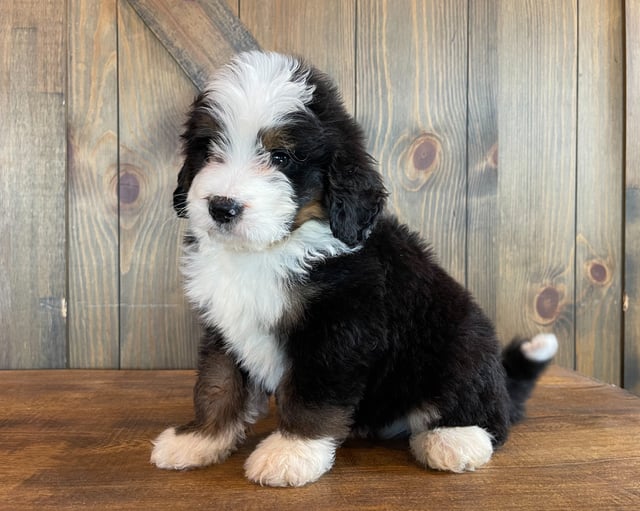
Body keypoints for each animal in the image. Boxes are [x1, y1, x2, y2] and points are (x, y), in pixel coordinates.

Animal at [150, 52, 556, 488]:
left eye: (281, 157)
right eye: (210, 149)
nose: (222, 207)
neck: (267, 251)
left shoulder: (339, 328)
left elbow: (312, 394)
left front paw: (292, 452)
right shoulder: (225, 326)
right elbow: (217, 383)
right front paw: (199, 438)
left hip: (459, 340)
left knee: (485, 412)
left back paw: (454, 440)